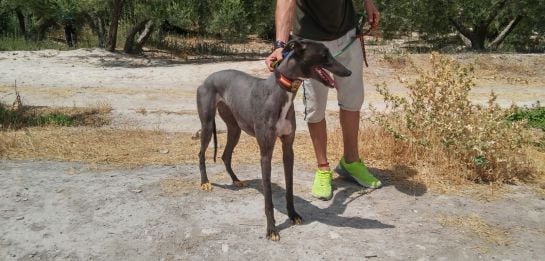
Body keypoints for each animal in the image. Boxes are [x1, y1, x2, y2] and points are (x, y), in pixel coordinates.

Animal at [198, 39, 350, 241]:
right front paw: (271, 229)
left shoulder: (288, 148)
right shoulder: (266, 152)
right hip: (207, 125)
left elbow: (289, 187)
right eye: (324, 54)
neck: (280, 91)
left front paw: (293, 215)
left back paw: (236, 180)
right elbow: (268, 197)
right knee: (201, 153)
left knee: (226, 155)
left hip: (235, 128)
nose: (348, 72)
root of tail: (207, 79)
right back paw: (205, 182)